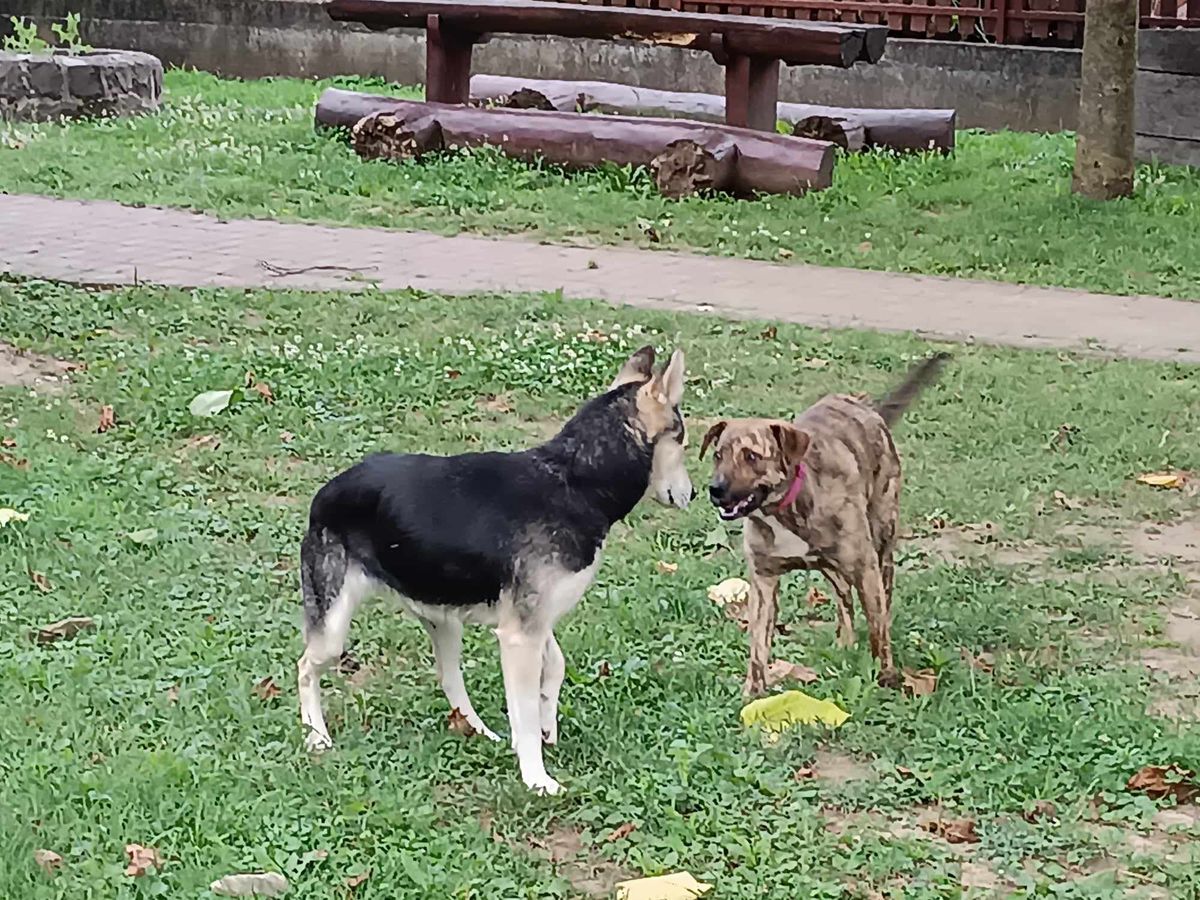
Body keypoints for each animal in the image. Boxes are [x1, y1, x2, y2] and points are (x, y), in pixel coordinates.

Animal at [297, 348, 696, 796]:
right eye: (682, 441)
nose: (696, 494)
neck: (574, 480)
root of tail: (324, 493)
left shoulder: (534, 622)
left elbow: (555, 668)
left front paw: (546, 725)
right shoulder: (521, 635)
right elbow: (524, 711)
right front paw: (536, 777)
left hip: (443, 618)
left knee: (449, 677)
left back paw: (479, 731)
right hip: (333, 629)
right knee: (305, 669)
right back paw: (317, 736)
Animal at [700, 355, 945, 696]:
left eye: (751, 456)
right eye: (718, 455)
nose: (716, 489)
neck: (784, 509)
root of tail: (868, 408)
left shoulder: (865, 569)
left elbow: (878, 630)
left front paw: (886, 676)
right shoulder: (763, 580)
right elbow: (758, 644)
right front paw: (754, 691)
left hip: (881, 543)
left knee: (881, 598)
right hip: (832, 566)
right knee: (843, 598)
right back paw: (844, 642)